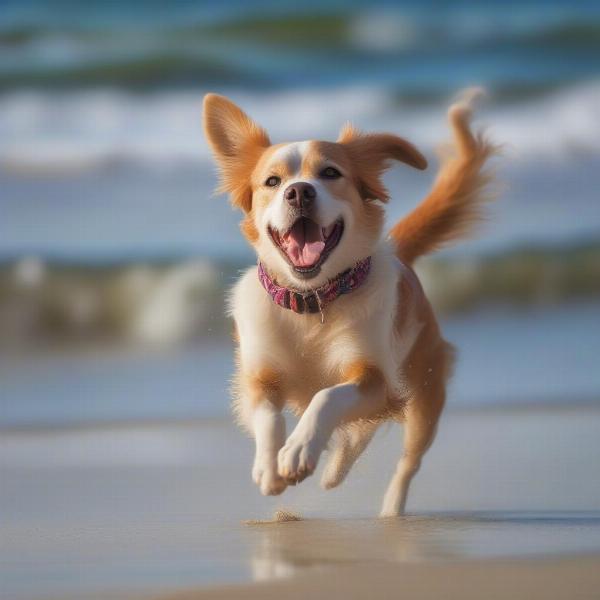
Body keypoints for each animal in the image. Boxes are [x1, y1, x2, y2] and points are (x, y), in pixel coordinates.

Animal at [204, 89, 494, 516]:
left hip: (423, 397)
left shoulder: (373, 376)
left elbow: (327, 396)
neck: (311, 301)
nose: (299, 191)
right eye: (272, 181)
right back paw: (332, 472)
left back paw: (388, 508)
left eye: (330, 173)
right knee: (360, 433)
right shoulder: (258, 377)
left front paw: (299, 450)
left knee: (405, 460)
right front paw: (271, 467)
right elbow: (269, 415)